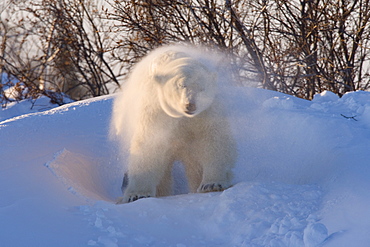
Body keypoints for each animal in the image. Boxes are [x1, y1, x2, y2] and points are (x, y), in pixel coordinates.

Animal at [110, 44, 237, 203]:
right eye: (181, 85)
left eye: (202, 88)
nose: (191, 105)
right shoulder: (157, 110)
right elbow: (148, 146)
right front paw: (136, 195)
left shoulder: (206, 112)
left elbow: (213, 139)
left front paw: (212, 184)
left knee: (194, 166)